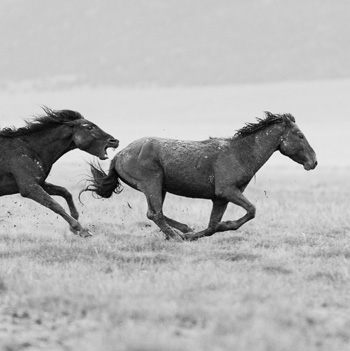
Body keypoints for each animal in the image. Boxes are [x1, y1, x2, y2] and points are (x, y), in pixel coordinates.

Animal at [0, 107, 119, 238]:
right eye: (89, 127)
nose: (114, 141)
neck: (30, 149)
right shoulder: (29, 188)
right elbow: (55, 205)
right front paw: (82, 230)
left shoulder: (40, 183)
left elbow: (65, 192)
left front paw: (74, 227)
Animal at [82, 113, 318, 242]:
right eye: (300, 135)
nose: (313, 162)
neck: (240, 153)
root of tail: (119, 156)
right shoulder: (227, 191)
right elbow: (251, 211)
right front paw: (193, 235)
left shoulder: (220, 198)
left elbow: (213, 226)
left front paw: (194, 234)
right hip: (152, 184)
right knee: (155, 214)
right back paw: (175, 236)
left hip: (160, 188)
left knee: (156, 213)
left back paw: (183, 230)